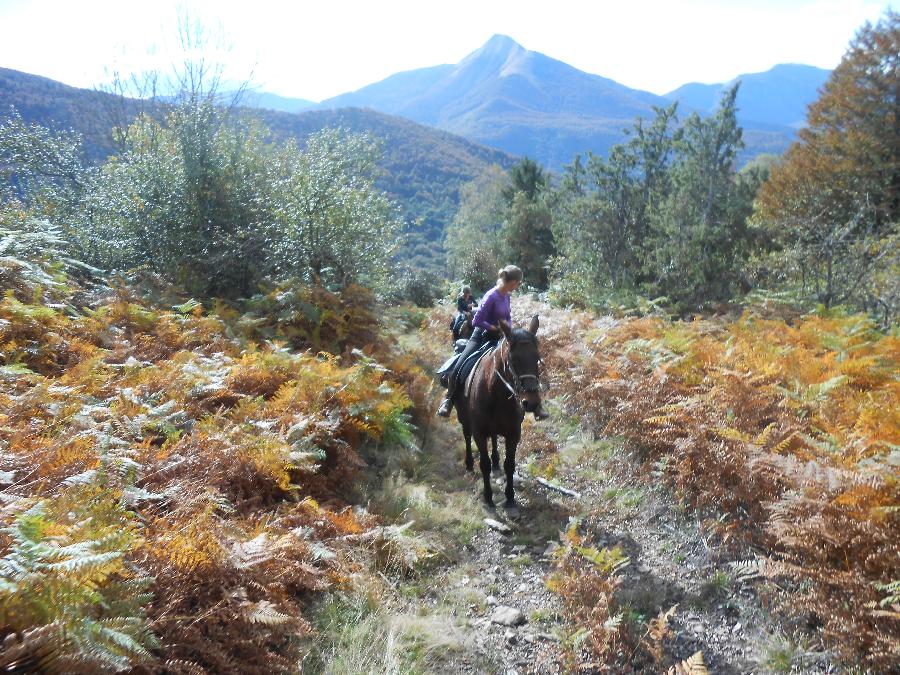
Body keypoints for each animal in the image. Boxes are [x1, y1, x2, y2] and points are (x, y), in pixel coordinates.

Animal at [450, 316, 540, 512]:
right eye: (513, 359)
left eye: (537, 358)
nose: (532, 402)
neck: (497, 393)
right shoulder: (479, 433)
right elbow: (484, 464)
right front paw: (489, 498)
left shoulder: (513, 433)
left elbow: (510, 465)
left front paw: (511, 499)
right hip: (464, 417)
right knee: (466, 436)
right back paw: (469, 464)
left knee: (494, 440)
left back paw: (496, 464)